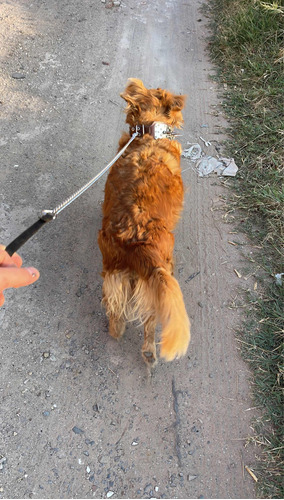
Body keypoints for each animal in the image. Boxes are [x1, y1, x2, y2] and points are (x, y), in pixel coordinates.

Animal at [98, 79, 191, 368]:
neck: (148, 132)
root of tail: (135, 238)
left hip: (114, 273)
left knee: (115, 315)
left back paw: (116, 331)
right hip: (159, 272)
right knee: (150, 321)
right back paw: (150, 352)